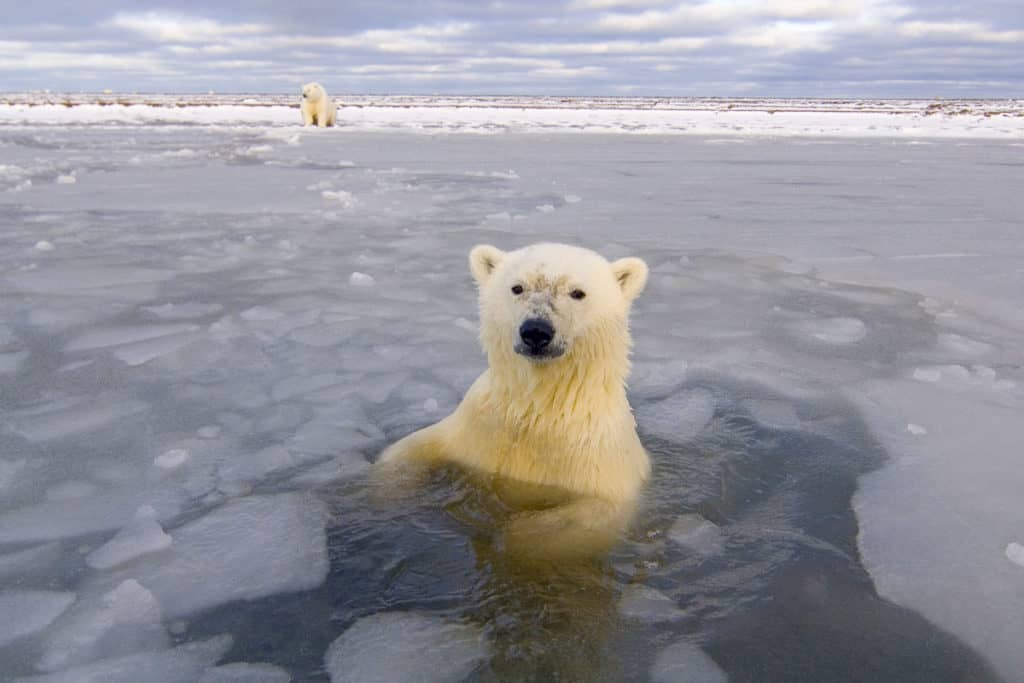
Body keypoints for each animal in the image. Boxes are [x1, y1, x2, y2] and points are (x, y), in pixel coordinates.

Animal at [376, 242, 647, 557]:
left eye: (578, 293)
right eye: (517, 287)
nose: (536, 331)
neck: (538, 407)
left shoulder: (598, 461)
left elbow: (588, 516)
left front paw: (506, 535)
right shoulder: (477, 427)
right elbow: (412, 449)